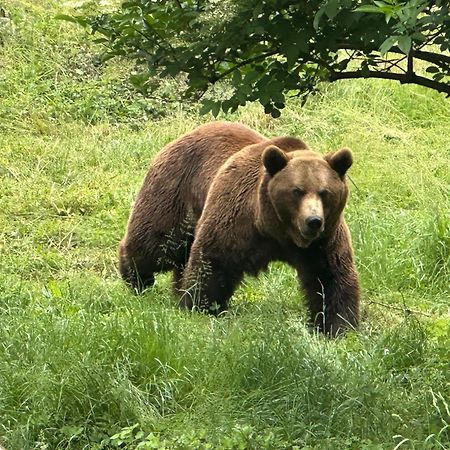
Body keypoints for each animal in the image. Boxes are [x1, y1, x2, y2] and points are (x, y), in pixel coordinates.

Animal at [119, 121, 358, 336]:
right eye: (297, 191)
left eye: (324, 192)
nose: (313, 220)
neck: (276, 229)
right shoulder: (236, 221)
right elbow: (213, 263)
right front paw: (201, 308)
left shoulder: (323, 241)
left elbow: (331, 277)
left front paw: (337, 327)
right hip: (175, 190)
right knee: (157, 244)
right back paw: (136, 278)